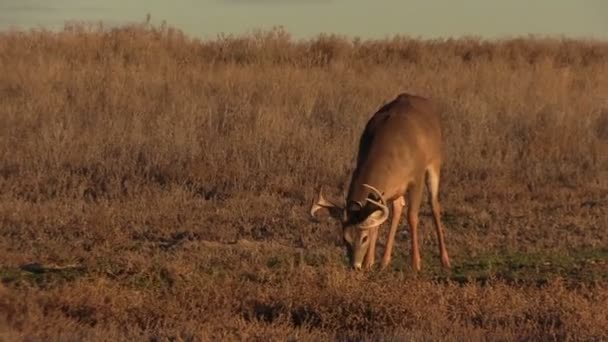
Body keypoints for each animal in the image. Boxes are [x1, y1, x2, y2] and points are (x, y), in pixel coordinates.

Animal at [312, 92, 448, 272]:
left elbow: (412, 217)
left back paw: (445, 259)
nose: (355, 265)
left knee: (434, 205)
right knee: (397, 208)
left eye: (364, 238)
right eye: (345, 238)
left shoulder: (416, 178)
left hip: (435, 163)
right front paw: (369, 262)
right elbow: (376, 223)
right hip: (396, 190)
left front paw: (416, 263)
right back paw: (384, 261)